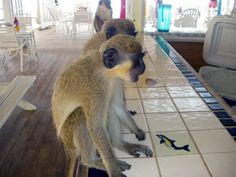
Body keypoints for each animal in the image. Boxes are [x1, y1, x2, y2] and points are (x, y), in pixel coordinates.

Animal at [51, 35, 153, 177]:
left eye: (142, 58)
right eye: (137, 60)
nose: (144, 67)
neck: (105, 71)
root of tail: (66, 144)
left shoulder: (116, 80)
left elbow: (117, 106)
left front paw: (136, 130)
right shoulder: (96, 87)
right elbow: (96, 126)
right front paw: (113, 170)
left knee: (109, 108)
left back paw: (119, 144)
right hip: (68, 132)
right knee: (82, 113)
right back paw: (91, 161)